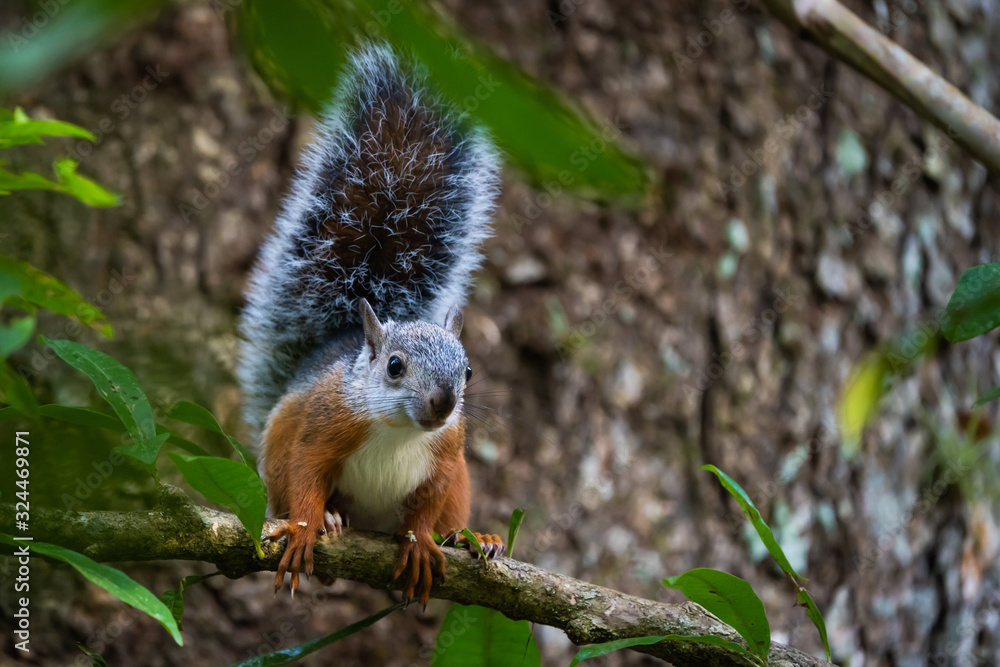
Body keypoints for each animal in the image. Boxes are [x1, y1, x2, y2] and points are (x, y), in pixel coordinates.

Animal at [237, 44, 505, 604]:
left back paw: (474, 538)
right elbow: (307, 474)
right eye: (395, 366)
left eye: (468, 372)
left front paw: (423, 542)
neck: (398, 431)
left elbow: (427, 504)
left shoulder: (446, 456)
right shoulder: (322, 426)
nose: (443, 404)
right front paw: (308, 526)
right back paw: (333, 520)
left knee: (450, 514)